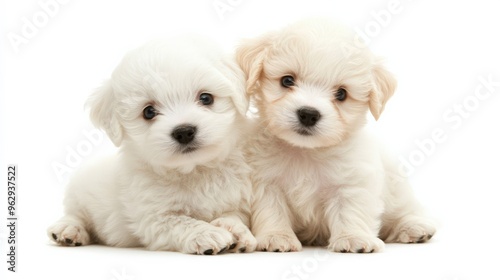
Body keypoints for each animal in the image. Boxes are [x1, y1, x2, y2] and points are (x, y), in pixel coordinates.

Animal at [46, 36, 256, 254]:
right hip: (78, 193)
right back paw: (68, 230)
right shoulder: (154, 217)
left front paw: (236, 231)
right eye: (148, 112)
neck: (195, 169)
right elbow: (181, 222)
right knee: (76, 214)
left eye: (206, 98)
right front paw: (207, 234)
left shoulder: (237, 198)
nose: (184, 132)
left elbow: (234, 215)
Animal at [236, 18, 436, 253]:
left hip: (397, 188)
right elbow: (272, 211)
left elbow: (350, 211)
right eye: (287, 81)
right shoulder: (266, 183)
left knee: (402, 210)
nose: (308, 114)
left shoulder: (352, 183)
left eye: (341, 94)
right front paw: (277, 237)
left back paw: (414, 227)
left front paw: (353, 238)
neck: (305, 151)